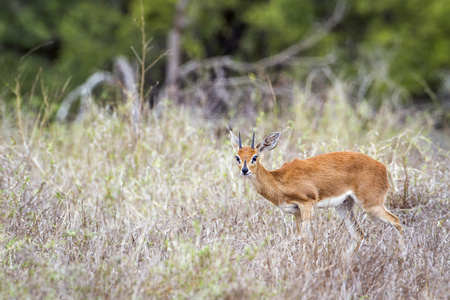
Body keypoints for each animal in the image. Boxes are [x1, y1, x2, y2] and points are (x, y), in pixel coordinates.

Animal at [230, 131, 402, 251]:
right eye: (237, 157)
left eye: (255, 157)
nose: (244, 170)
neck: (279, 179)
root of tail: (383, 168)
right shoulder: (296, 212)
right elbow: (301, 237)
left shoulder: (307, 204)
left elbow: (304, 238)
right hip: (344, 206)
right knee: (358, 234)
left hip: (371, 205)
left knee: (396, 221)